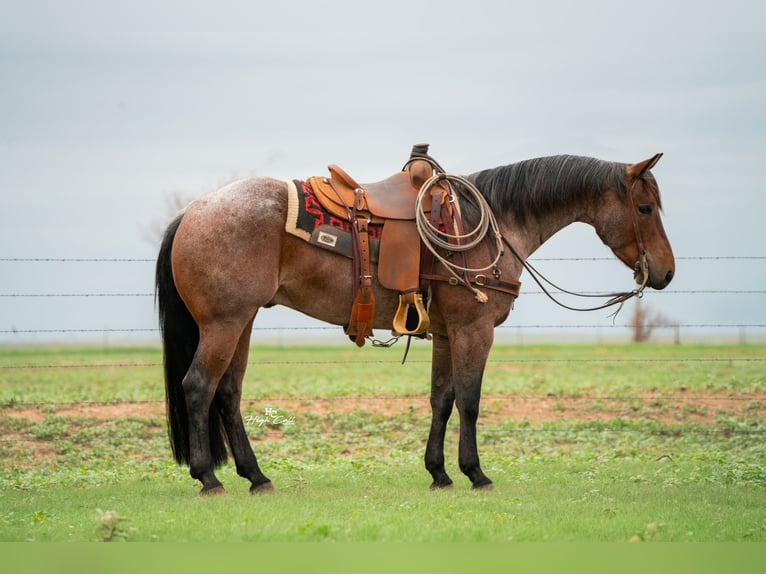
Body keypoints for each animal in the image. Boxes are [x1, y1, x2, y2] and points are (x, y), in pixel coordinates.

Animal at [155, 151, 675, 494]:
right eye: (645, 208)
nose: (666, 273)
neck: (488, 224)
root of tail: (192, 212)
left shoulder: (446, 332)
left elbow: (441, 399)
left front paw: (439, 472)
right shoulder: (474, 330)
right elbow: (469, 400)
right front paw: (475, 473)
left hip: (239, 323)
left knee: (228, 393)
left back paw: (256, 476)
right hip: (224, 324)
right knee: (199, 387)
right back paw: (208, 477)